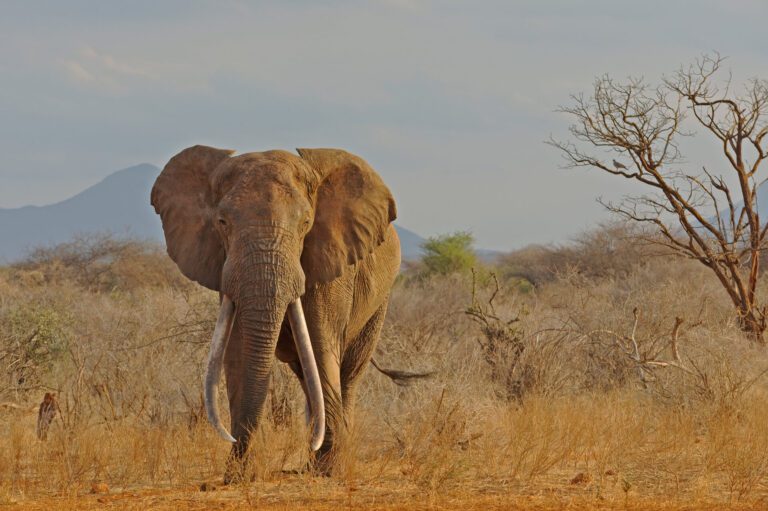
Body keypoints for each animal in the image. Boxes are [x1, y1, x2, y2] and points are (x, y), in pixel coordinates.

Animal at [150, 145, 401, 479]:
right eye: (222, 222)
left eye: (306, 223)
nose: (235, 444)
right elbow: (237, 353)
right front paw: (237, 476)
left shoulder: (329, 263)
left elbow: (320, 348)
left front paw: (328, 471)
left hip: (379, 303)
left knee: (347, 372)